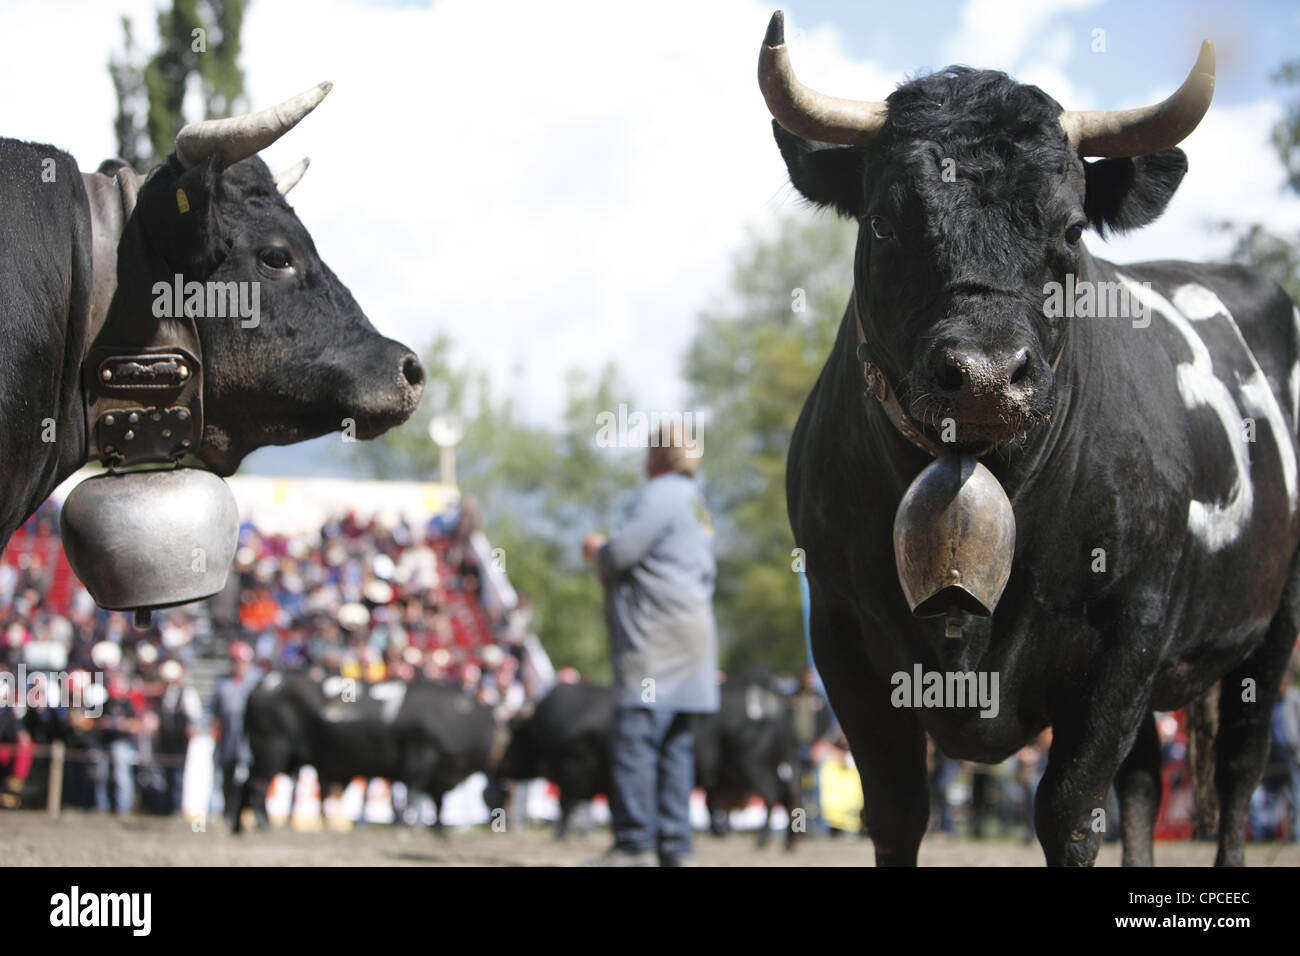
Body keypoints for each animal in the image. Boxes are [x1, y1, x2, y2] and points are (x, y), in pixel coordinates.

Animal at [236, 671, 493, 837]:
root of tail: (264, 685)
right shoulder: (420, 758)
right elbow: (414, 793)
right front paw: (408, 828)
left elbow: (434, 802)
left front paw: (437, 830)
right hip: (273, 748)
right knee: (257, 785)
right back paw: (264, 825)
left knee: (247, 783)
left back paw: (239, 827)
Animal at [488, 686, 800, 848]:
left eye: (514, 734)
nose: (499, 764)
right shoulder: (606, 778)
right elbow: (613, 807)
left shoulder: (575, 769)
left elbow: (566, 805)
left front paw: (558, 837)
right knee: (786, 795)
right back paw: (787, 844)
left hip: (754, 765)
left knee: (773, 796)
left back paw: (762, 840)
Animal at [759, 11, 1300, 868]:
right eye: (884, 221)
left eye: (1071, 228)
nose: (985, 375)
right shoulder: (840, 631)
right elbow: (897, 810)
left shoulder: (1131, 626)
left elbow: (1070, 809)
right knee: (1143, 782)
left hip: (1272, 628)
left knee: (1240, 773)